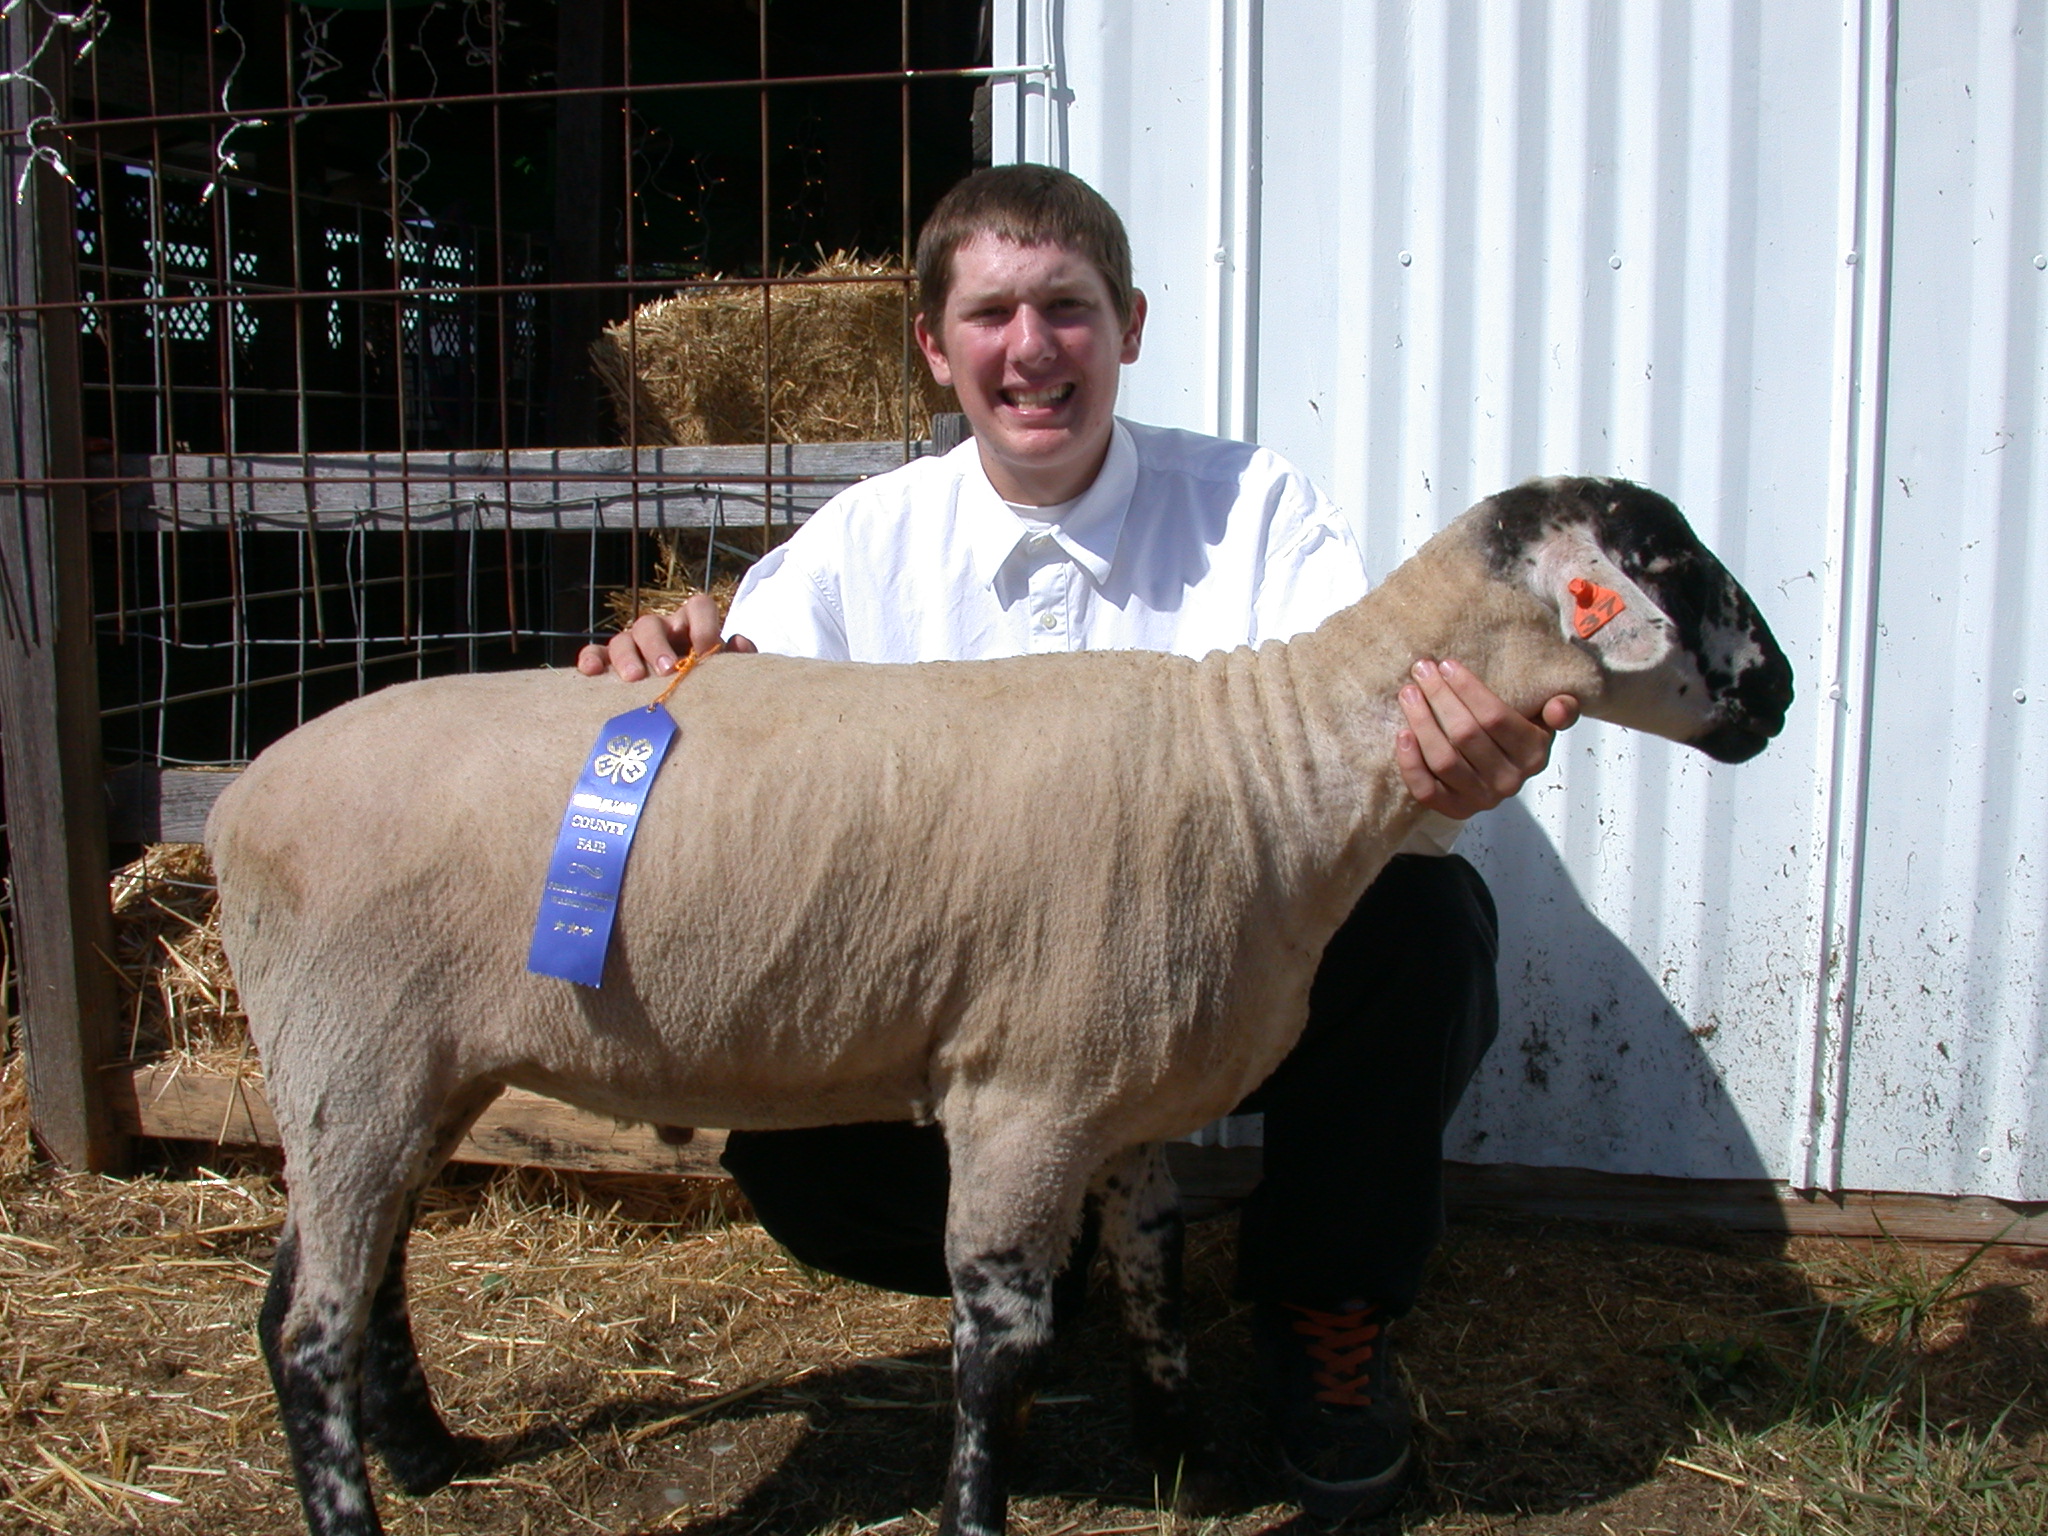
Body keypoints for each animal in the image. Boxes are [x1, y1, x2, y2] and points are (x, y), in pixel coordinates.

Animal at [208, 475, 1793, 1536]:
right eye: (1667, 558)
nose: (1779, 693)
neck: (1273, 772)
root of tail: (234, 804)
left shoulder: (1133, 1088)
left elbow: (1152, 1266)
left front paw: (1177, 1457)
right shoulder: (1027, 1094)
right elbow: (1000, 1338)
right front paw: (987, 1497)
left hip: (404, 1067)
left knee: (339, 1280)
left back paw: (433, 1458)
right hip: (353, 1049)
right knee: (311, 1328)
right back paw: (358, 1504)